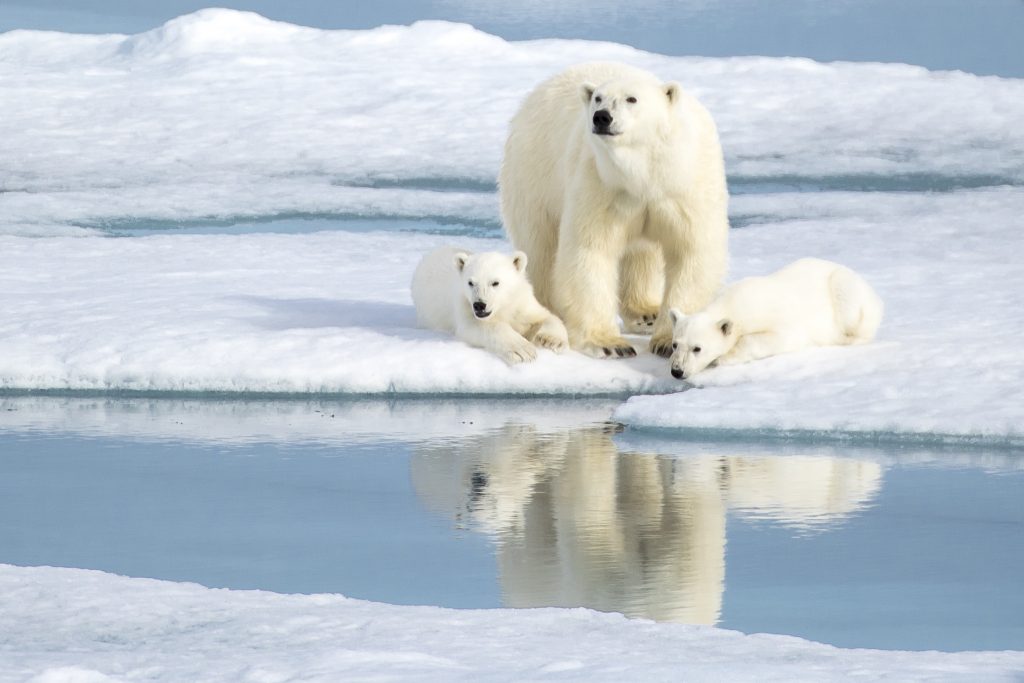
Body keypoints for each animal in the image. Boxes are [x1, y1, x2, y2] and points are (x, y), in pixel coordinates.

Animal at [410, 246, 569, 364]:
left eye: (495, 282)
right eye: (470, 282)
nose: (479, 305)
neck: (502, 308)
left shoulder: (521, 303)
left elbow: (546, 316)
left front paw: (551, 340)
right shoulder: (464, 305)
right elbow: (478, 326)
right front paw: (522, 350)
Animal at [499, 62, 729, 359]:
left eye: (632, 99)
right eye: (598, 98)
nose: (602, 117)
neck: (645, 173)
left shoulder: (684, 188)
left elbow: (691, 252)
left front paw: (668, 341)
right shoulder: (601, 184)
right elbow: (590, 250)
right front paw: (609, 344)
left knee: (642, 254)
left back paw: (646, 313)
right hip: (534, 173)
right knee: (541, 248)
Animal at [667, 258, 884, 380]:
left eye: (697, 348)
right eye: (675, 345)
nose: (677, 371)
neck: (734, 301)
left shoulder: (779, 320)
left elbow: (779, 338)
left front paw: (723, 358)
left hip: (844, 287)